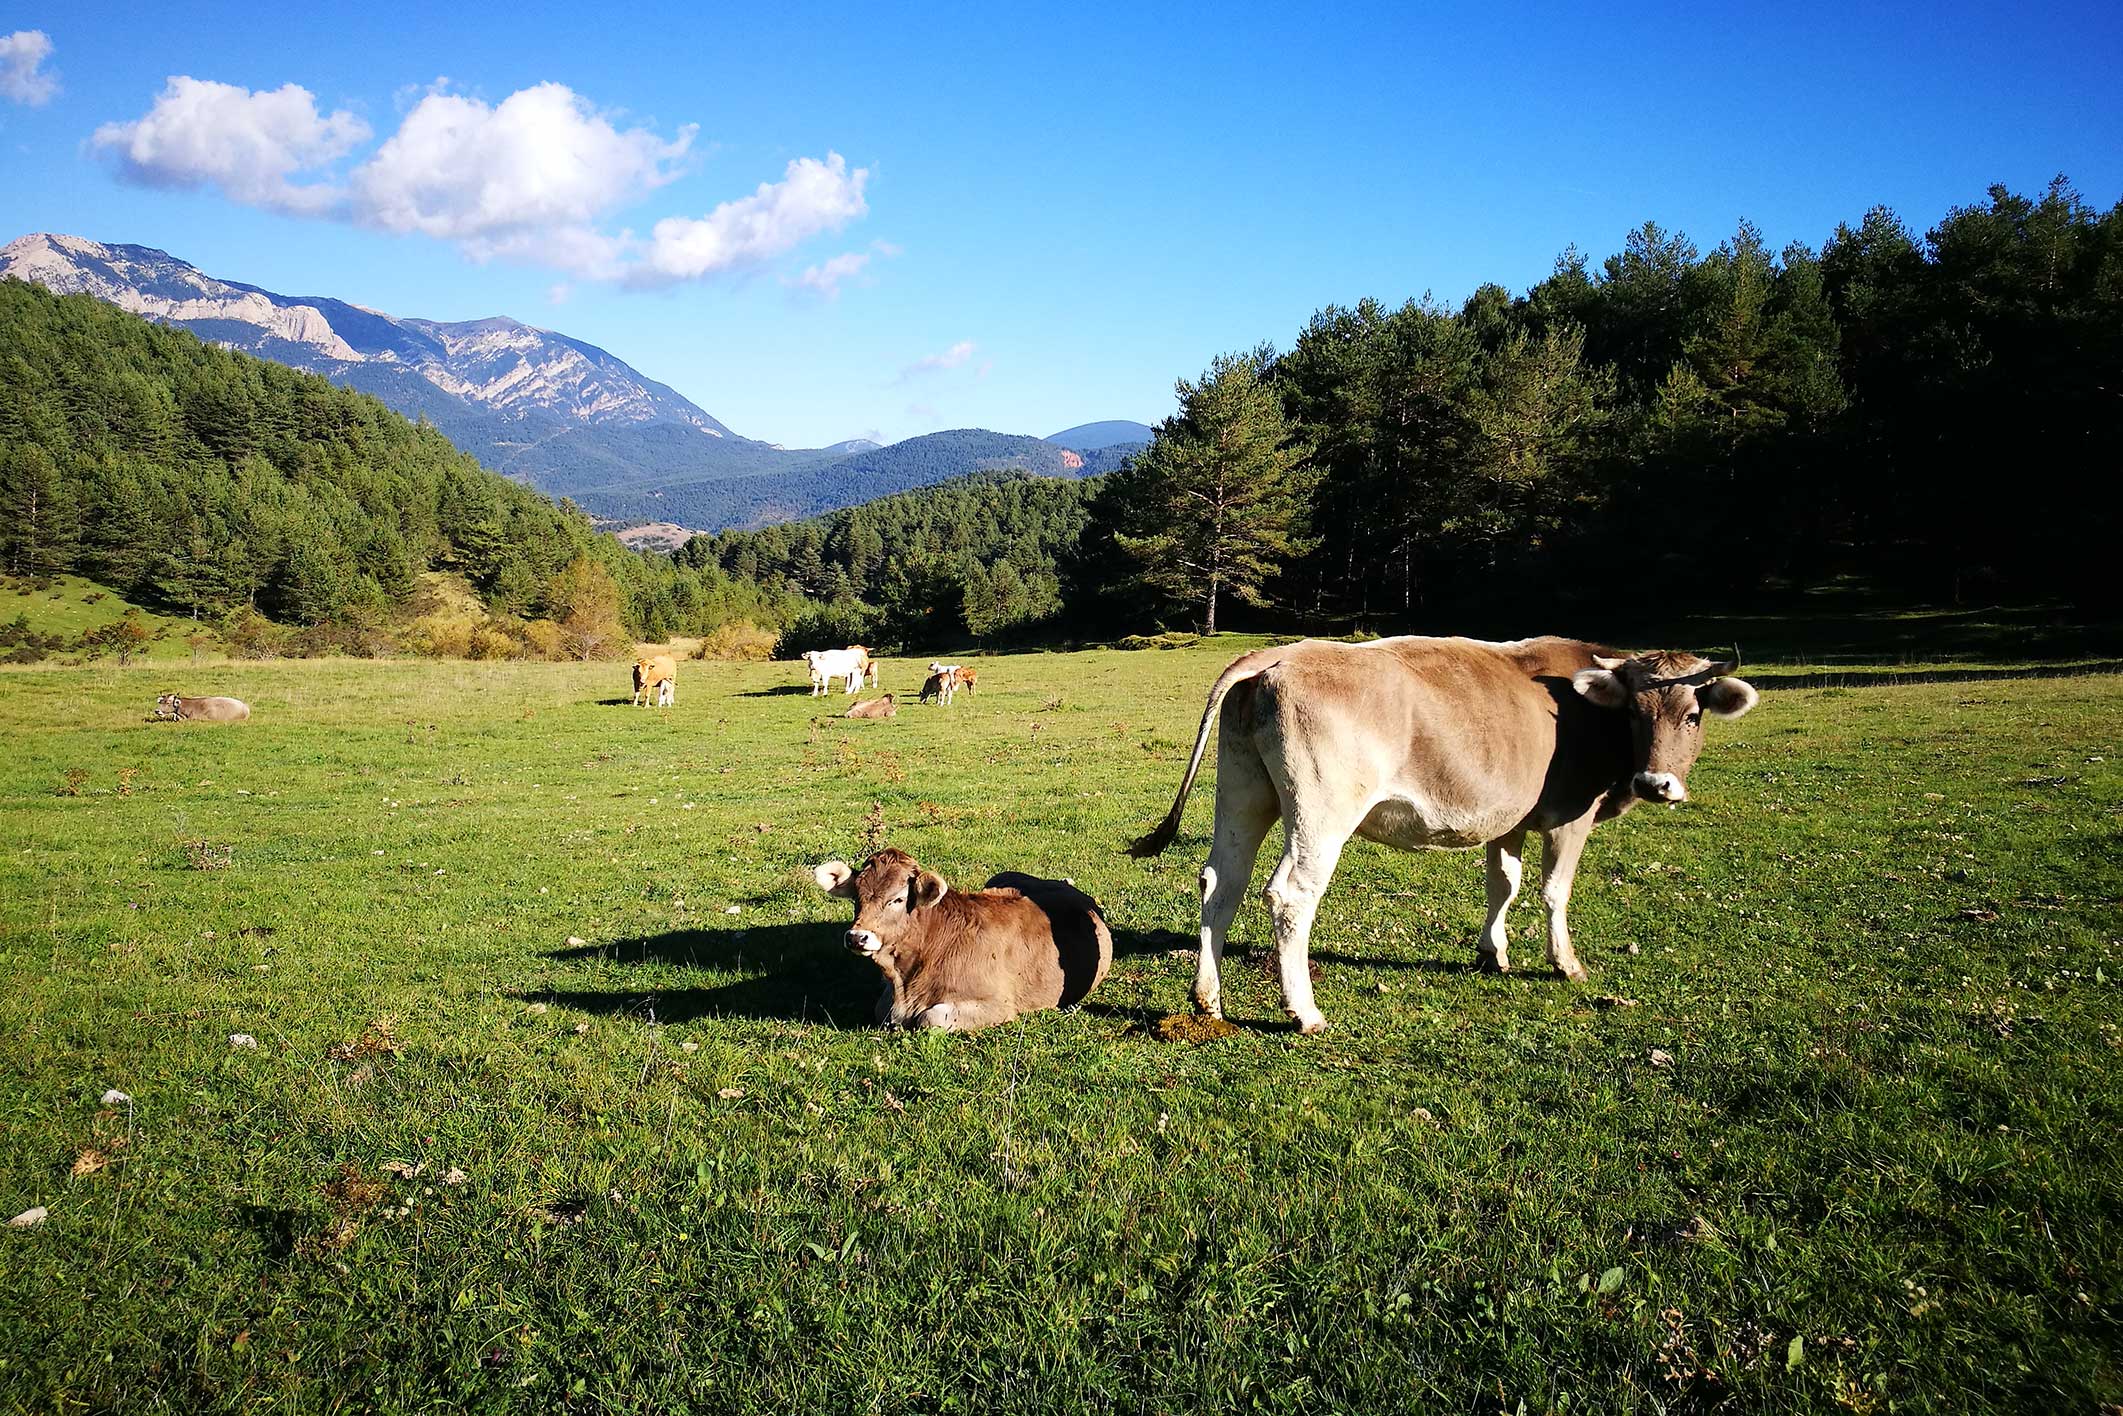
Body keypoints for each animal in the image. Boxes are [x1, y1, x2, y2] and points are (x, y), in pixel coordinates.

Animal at [806, 840, 1112, 1031]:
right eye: (856, 897)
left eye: (898, 899)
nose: (857, 937)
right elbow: (884, 1011)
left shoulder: (1000, 1004)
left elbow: (929, 1019)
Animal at [1137, 641, 1766, 1031]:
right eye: (1635, 711)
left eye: (1692, 715)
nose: (1656, 783)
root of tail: (1283, 651)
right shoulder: (1570, 815)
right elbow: (1553, 890)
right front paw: (1565, 964)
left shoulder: (1508, 820)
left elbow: (1503, 884)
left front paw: (1495, 953)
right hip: (1322, 811)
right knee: (1290, 895)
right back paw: (1304, 1013)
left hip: (1245, 790)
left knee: (1222, 881)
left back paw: (1208, 999)